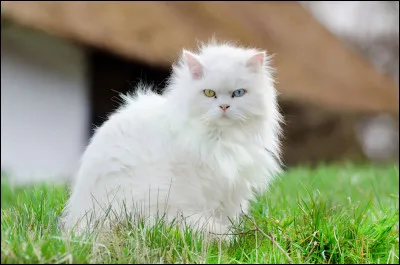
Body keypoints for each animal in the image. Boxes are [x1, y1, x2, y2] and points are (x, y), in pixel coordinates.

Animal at [61, 40, 282, 237]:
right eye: (209, 93)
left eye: (238, 93)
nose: (224, 106)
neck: (222, 139)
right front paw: (229, 233)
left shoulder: (233, 186)